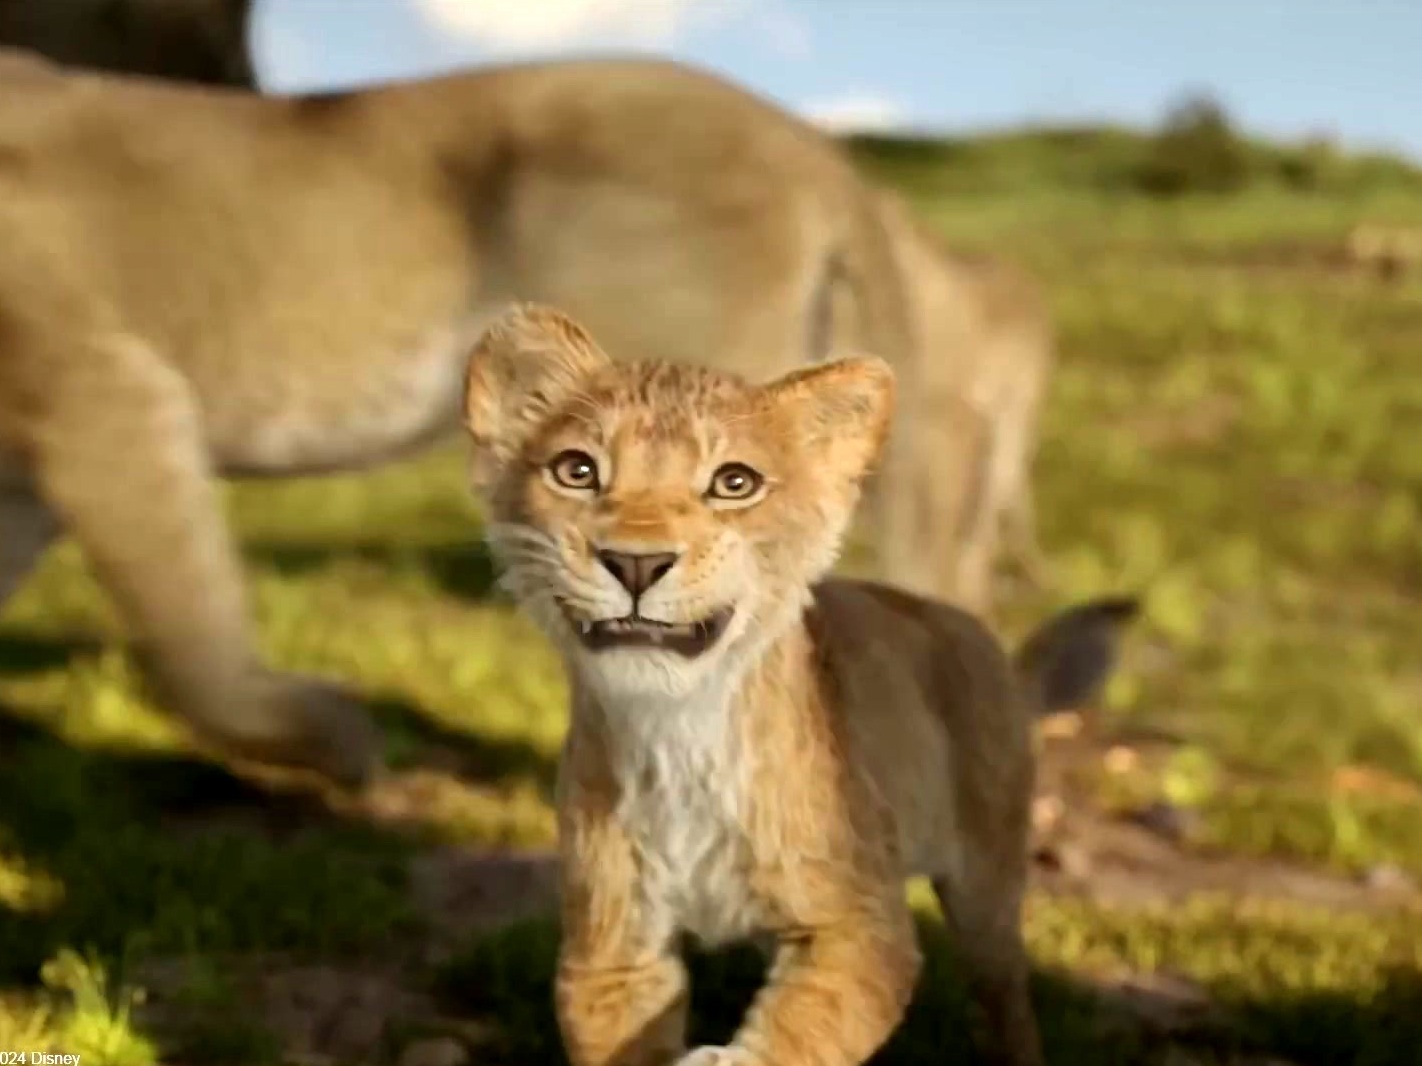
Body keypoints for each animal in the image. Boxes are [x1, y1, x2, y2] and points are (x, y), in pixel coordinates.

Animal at [461, 304, 1139, 1066]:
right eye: (576, 471)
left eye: (734, 483)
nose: (636, 564)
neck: (678, 731)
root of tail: (986, 646)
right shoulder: (613, 953)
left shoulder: (864, 928)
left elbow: (792, 1038)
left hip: (986, 894)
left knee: (1009, 1003)